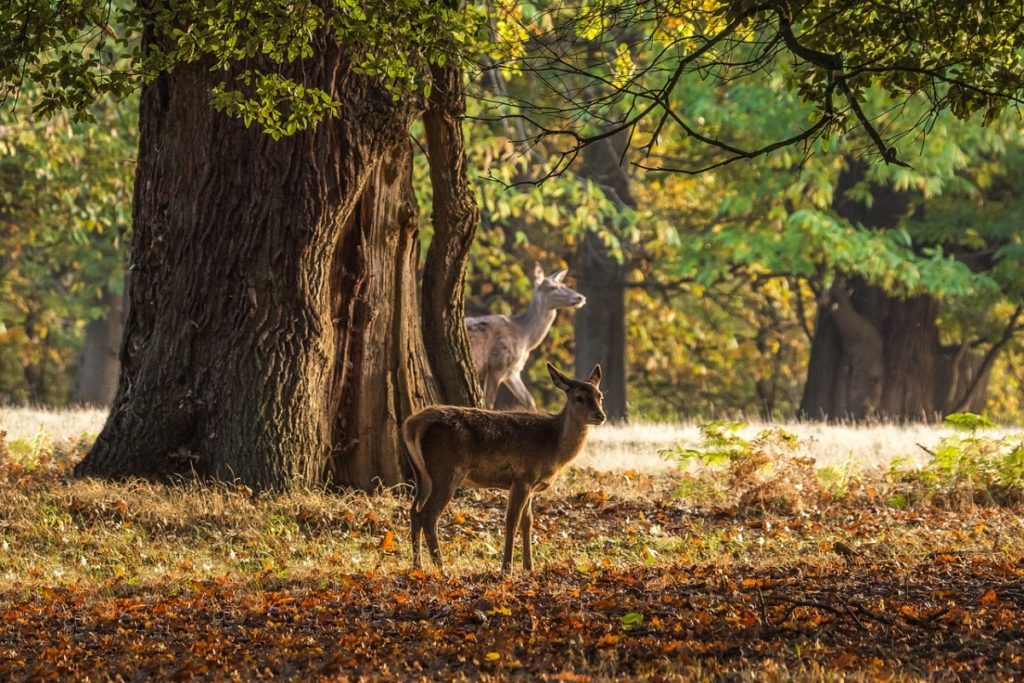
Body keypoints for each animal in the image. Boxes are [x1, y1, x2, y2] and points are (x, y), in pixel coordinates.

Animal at [402, 362, 605, 573]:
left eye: (600, 396)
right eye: (579, 397)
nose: (600, 415)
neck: (554, 445)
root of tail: (412, 425)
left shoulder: (531, 485)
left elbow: (528, 521)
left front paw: (529, 567)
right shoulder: (523, 477)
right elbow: (512, 521)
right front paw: (507, 567)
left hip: (422, 475)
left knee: (414, 511)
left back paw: (417, 565)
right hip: (446, 471)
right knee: (429, 515)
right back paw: (440, 567)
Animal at [466, 263, 585, 410]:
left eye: (563, 284)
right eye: (553, 287)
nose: (580, 297)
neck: (525, 338)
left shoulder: (513, 371)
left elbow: (530, 401)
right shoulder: (497, 364)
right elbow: (489, 404)